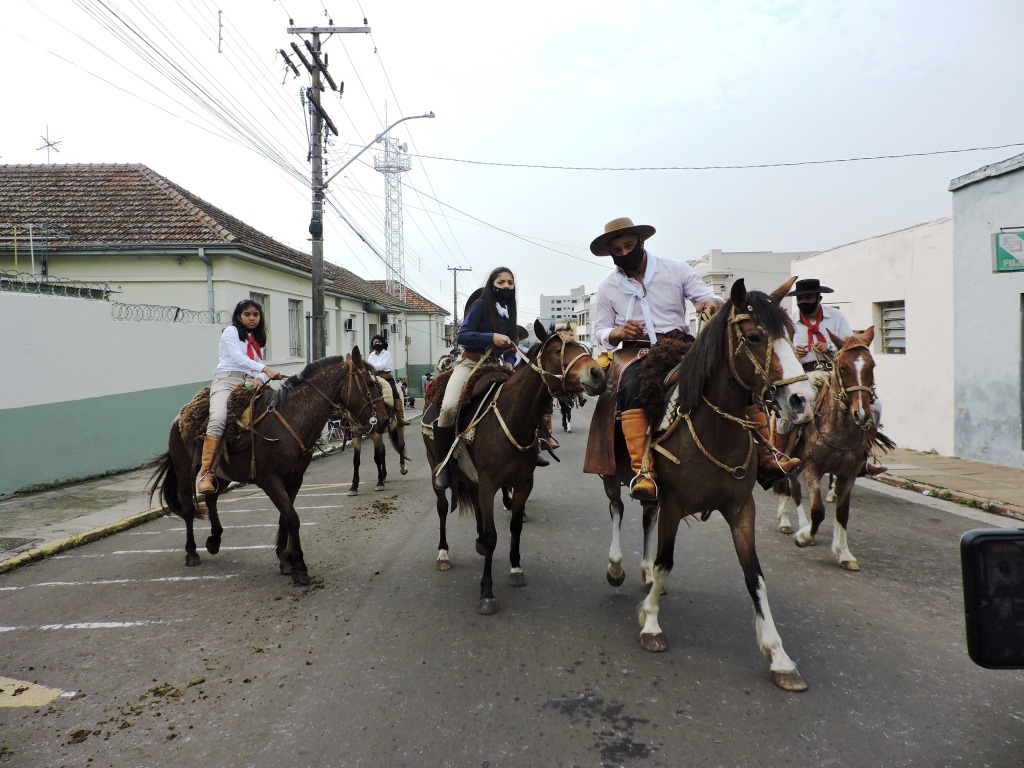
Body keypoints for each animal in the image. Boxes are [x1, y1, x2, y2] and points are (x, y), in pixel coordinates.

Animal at [149, 352, 391, 585]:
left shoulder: (294, 478)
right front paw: (299, 566)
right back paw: (191, 552)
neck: (291, 419)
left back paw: (214, 540)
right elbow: (292, 517)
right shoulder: (269, 480)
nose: (385, 420)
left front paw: (285, 559)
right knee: (188, 508)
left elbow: (285, 516)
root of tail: (180, 416)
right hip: (184, 471)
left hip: (222, 474)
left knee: (211, 498)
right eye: (370, 383)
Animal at [423, 321, 606, 618]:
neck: (513, 419)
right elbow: (492, 535)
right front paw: (487, 592)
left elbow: (515, 527)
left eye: (583, 347)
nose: (598, 374)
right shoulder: (489, 484)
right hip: (435, 467)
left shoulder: (522, 483)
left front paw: (516, 568)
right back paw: (443, 553)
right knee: (442, 506)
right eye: (556, 350)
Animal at [606, 280, 815, 696]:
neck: (714, 430)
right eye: (753, 336)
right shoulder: (673, 504)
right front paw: (651, 623)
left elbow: (754, 575)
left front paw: (778, 655)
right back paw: (617, 566)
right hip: (609, 472)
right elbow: (666, 561)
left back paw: (643, 574)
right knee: (618, 509)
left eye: (791, 334)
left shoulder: (741, 509)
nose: (802, 400)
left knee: (646, 514)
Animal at [774, 325, 888, 573]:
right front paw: (805, 536)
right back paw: (793, 523)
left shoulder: (848, 474)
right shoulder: (813, 468)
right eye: (843, 367)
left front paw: (844, 553)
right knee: (792, 488)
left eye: (872, 366)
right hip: (791, 459)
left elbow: (842, 513)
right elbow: (817, 511)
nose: (861, 414)